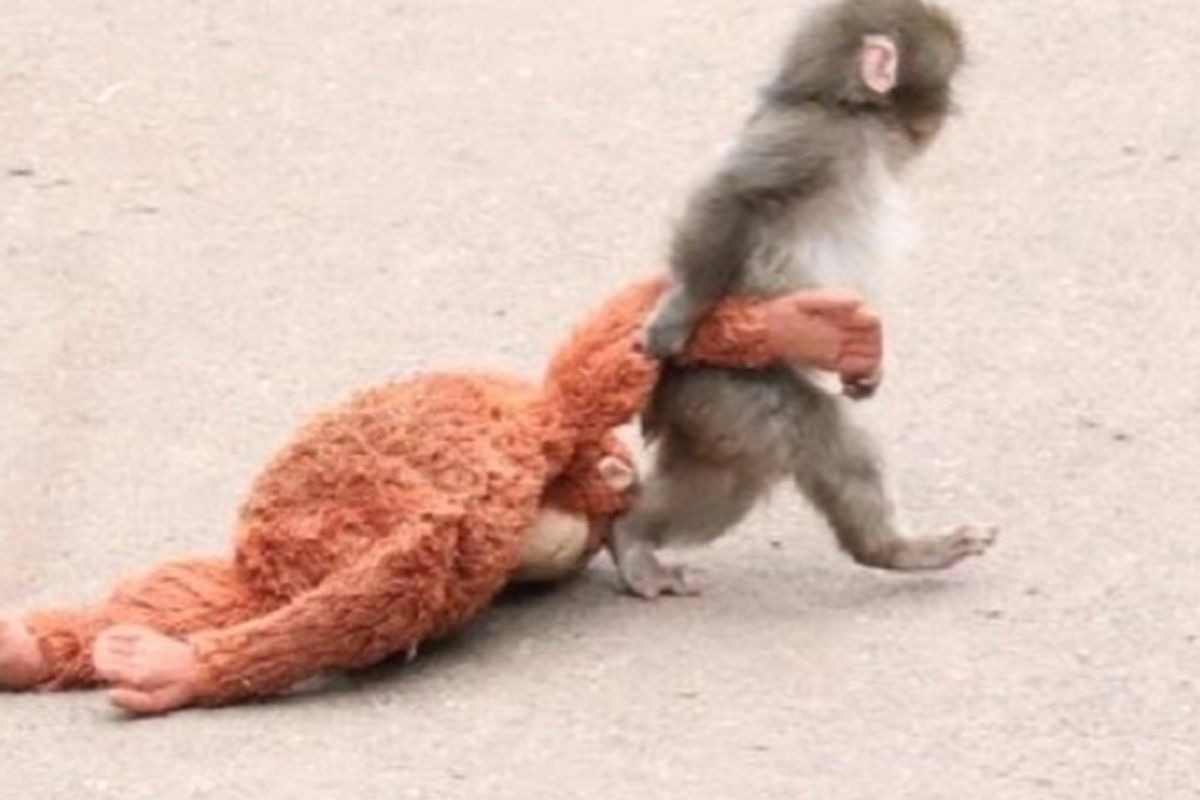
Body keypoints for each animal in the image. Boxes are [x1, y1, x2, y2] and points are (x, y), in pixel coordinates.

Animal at [610, 0, 996, 598]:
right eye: (948, 78)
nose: (950, 110)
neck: (847, 111)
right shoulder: (811, 139)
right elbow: (731, 193)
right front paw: (677, 313)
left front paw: (866, 370)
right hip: (725, 383)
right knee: (818, 435)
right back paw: (896, 550)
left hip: (714, 410)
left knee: (727, 478)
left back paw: (634, 531)